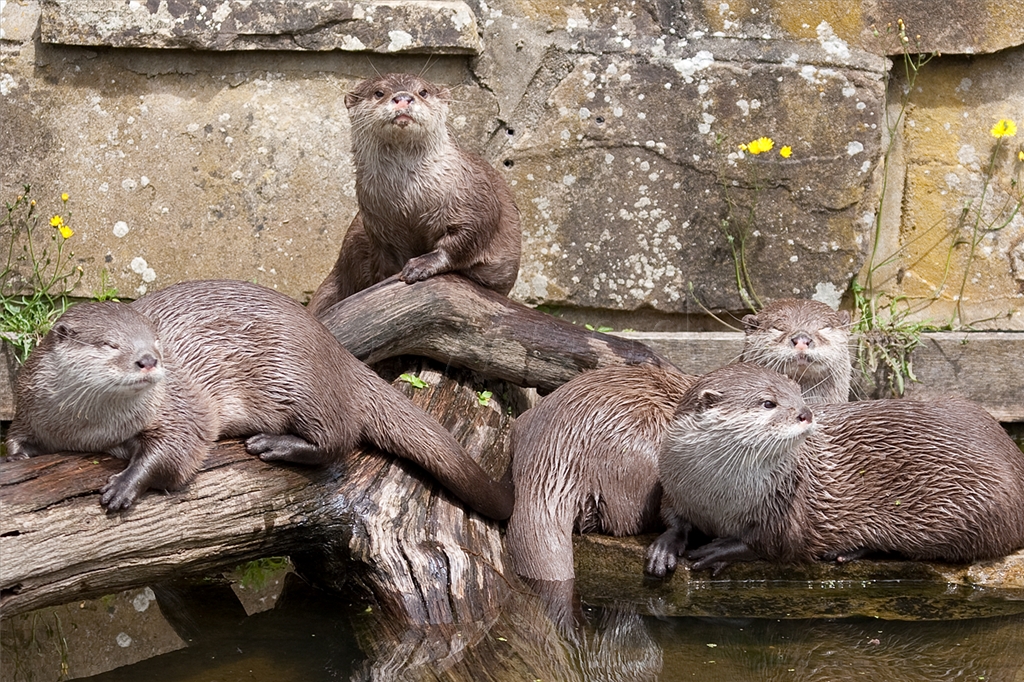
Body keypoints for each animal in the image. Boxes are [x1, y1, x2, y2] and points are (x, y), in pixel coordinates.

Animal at [5, 279, 514, 519]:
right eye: (111, 344)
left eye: (155, 341)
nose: (148, 360)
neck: (90, 428)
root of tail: (337, 352)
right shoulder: (31, 405)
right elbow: (19, 435)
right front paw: (17, 453)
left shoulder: (182, 406)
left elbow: (177, 449)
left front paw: (125, 484)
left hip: (297, 380)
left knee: (341, 439)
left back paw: (272, 444)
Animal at [307, 73, 522, 318]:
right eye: (379, 92)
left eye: (423, 92)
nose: (403, 98)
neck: (410, 201)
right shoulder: (378, 227)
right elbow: (384, 262)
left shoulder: (476, 201)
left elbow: (464, 240)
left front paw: (421, 265)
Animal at [645, 363, 1024, 577]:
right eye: (768, 402)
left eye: (798, 392)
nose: (806, 413)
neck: (717, 495)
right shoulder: (674, 486)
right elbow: (673, 520)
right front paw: (665, 548)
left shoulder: (786, 506)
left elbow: (774, 544)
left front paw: (718, 551)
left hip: (971, 512)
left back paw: (846, 551)